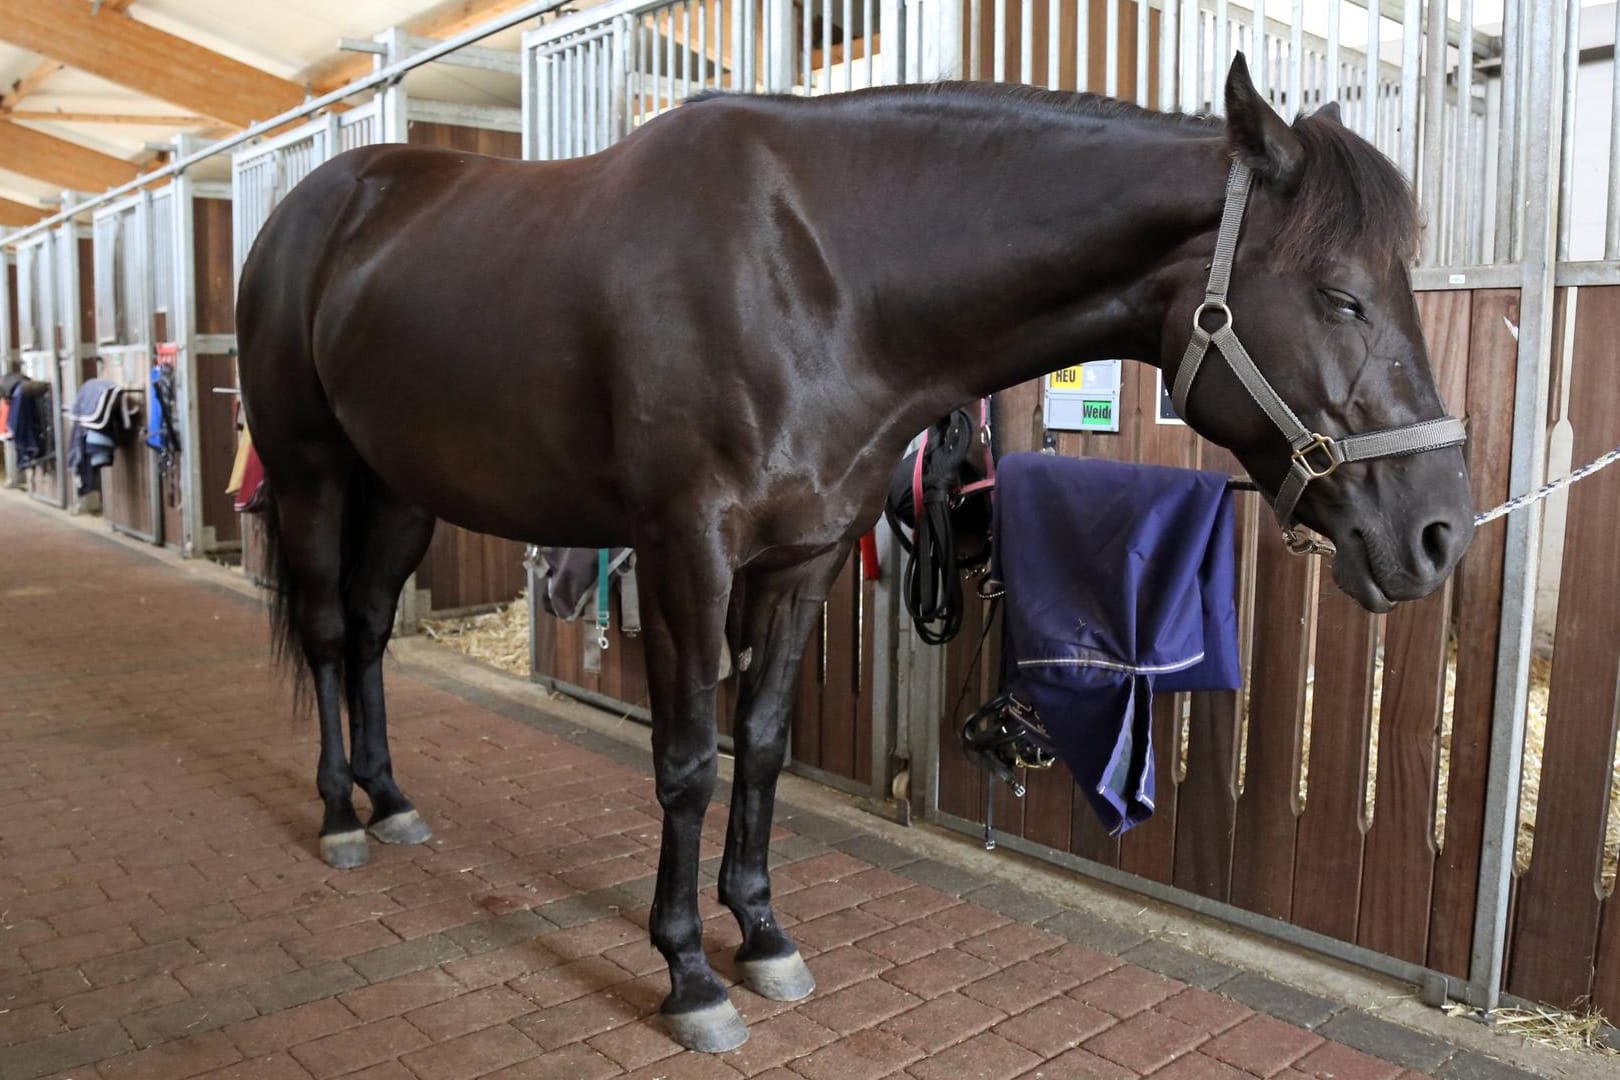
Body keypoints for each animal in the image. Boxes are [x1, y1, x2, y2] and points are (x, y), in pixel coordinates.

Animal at [236, 55, 1483, 1049]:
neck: (811, 274)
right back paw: (341, 815)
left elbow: (762, 744)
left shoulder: (806, 558)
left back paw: (393, 800)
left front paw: (763, 934)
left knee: (373, 634)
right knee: (333, 631)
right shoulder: (685, 553)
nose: (1438, 534)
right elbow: (686, 761)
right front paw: (689, 975)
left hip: (401, 490)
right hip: (311, 473)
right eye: (1340, 295)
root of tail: (317, 205)